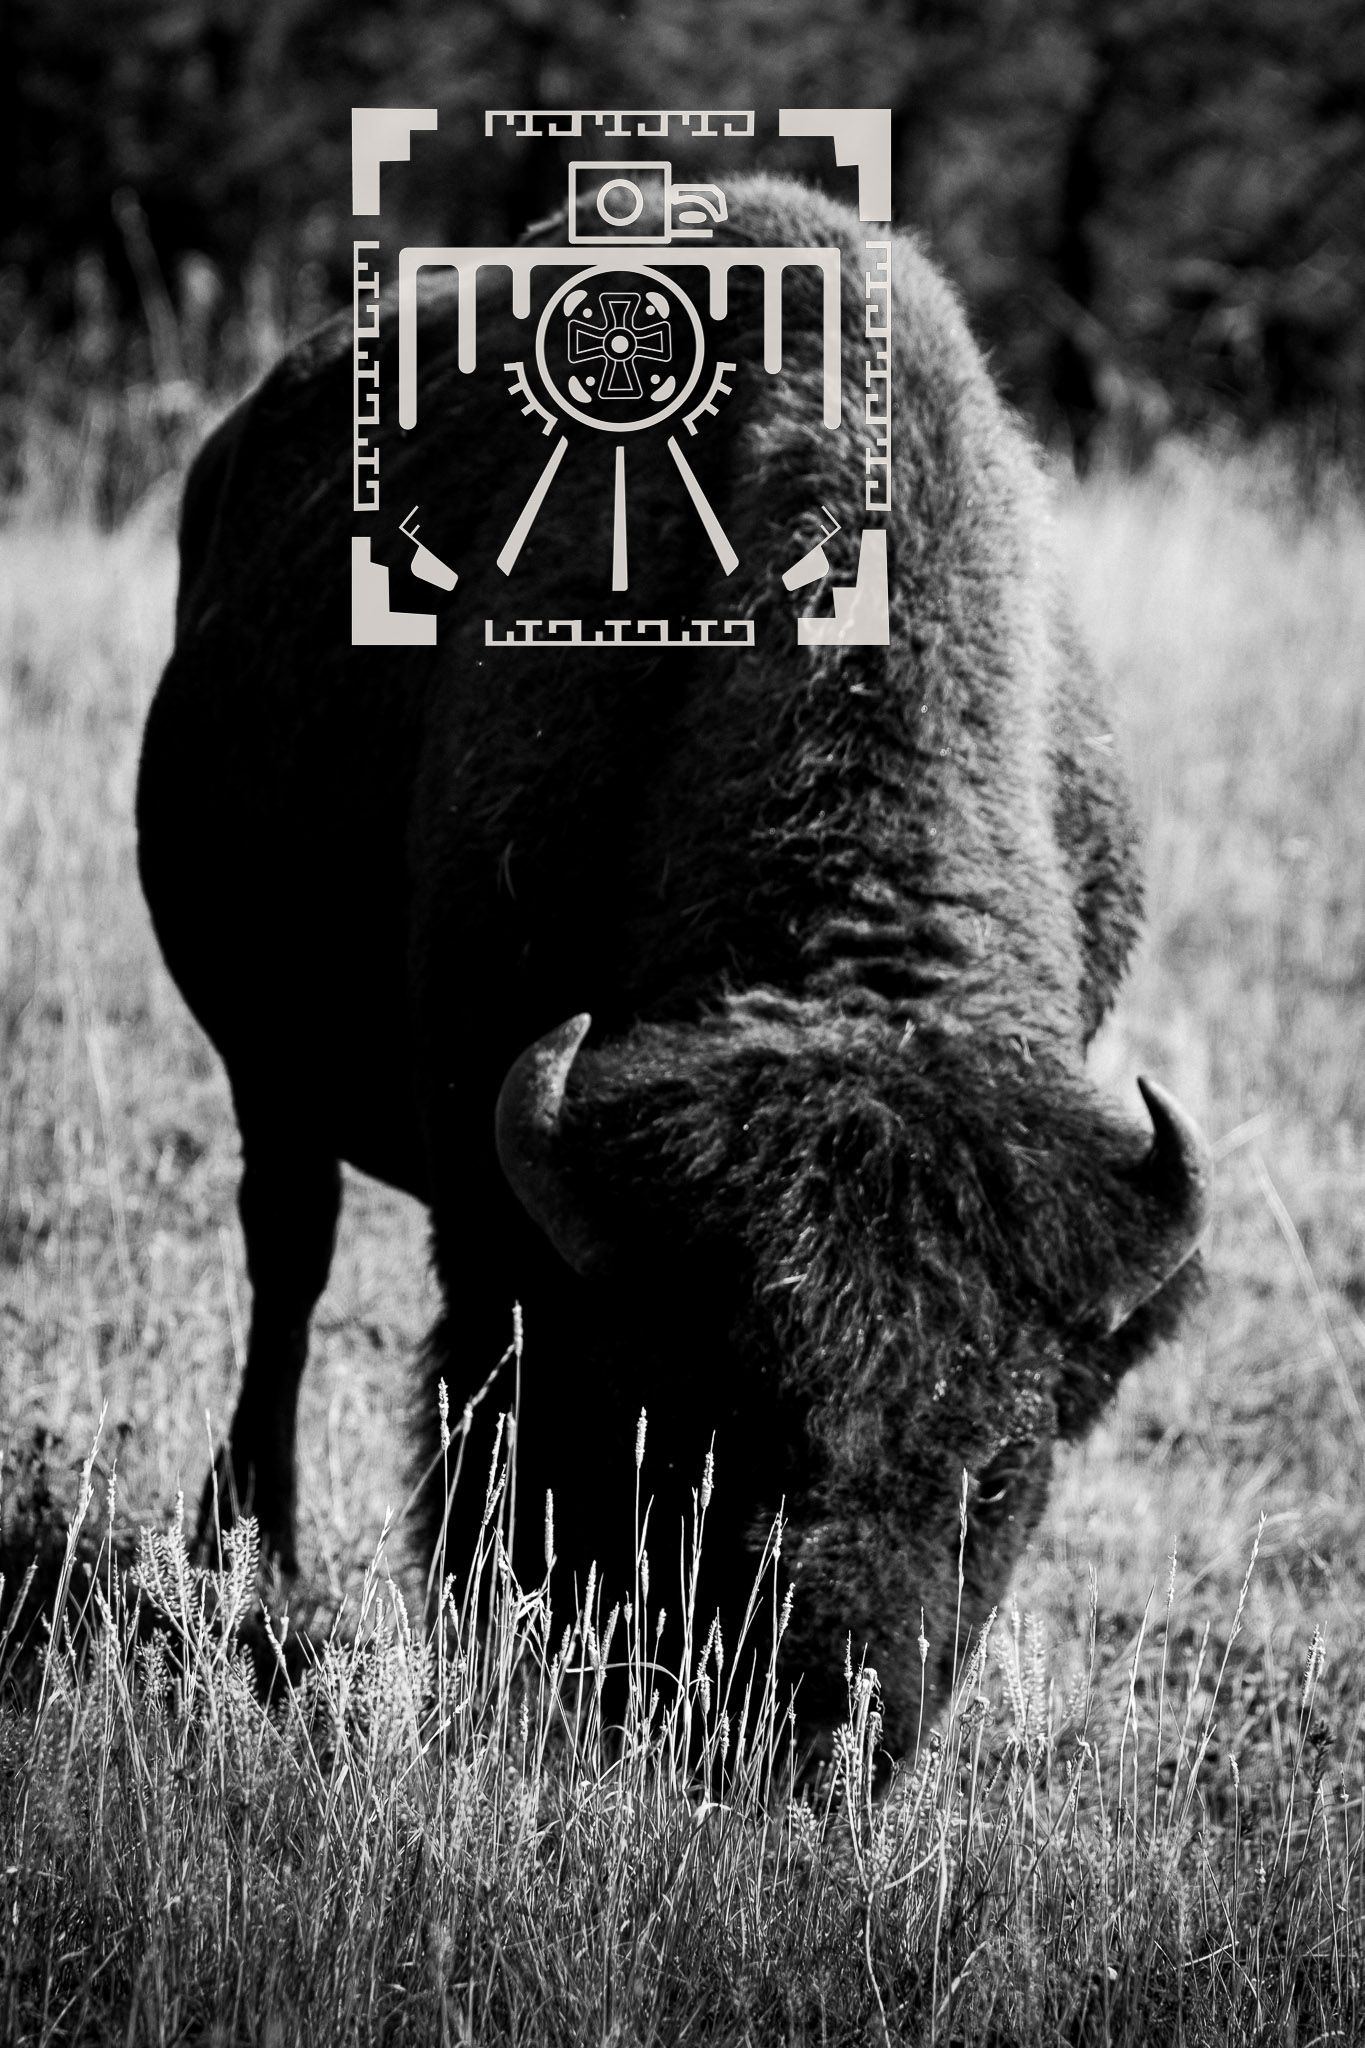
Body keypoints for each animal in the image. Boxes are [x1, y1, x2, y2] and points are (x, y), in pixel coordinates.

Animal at [137, 174, 1209, 1753]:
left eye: (1000, 1467)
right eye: (710, 1420)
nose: (827, 1722)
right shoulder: (500, 1204)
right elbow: (495, 1431)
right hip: (269, 1067)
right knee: (289, 1261)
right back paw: (254, 1561)